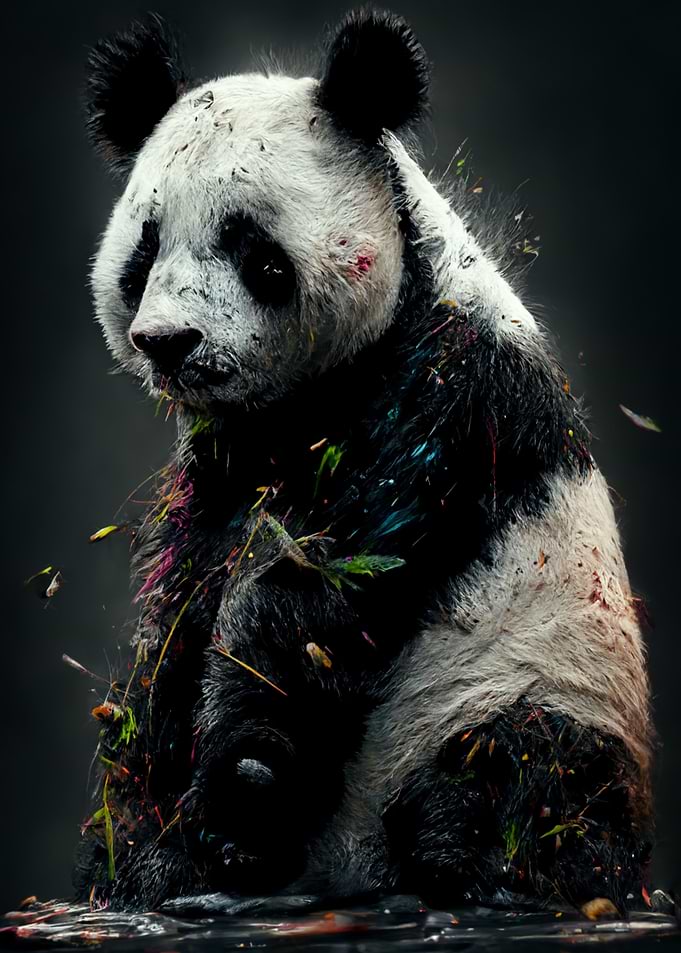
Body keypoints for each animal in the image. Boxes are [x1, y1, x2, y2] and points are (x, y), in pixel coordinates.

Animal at [78, 9, 653, 915]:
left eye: (253, 250)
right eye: (145, 252)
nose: (170, 343)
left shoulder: (452, 397)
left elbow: (323, 587)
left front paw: (244, 778)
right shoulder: (220, 463)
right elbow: (185, 604)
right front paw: (153, 838)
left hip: (529, 679)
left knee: (528, 772)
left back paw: (478, 856)